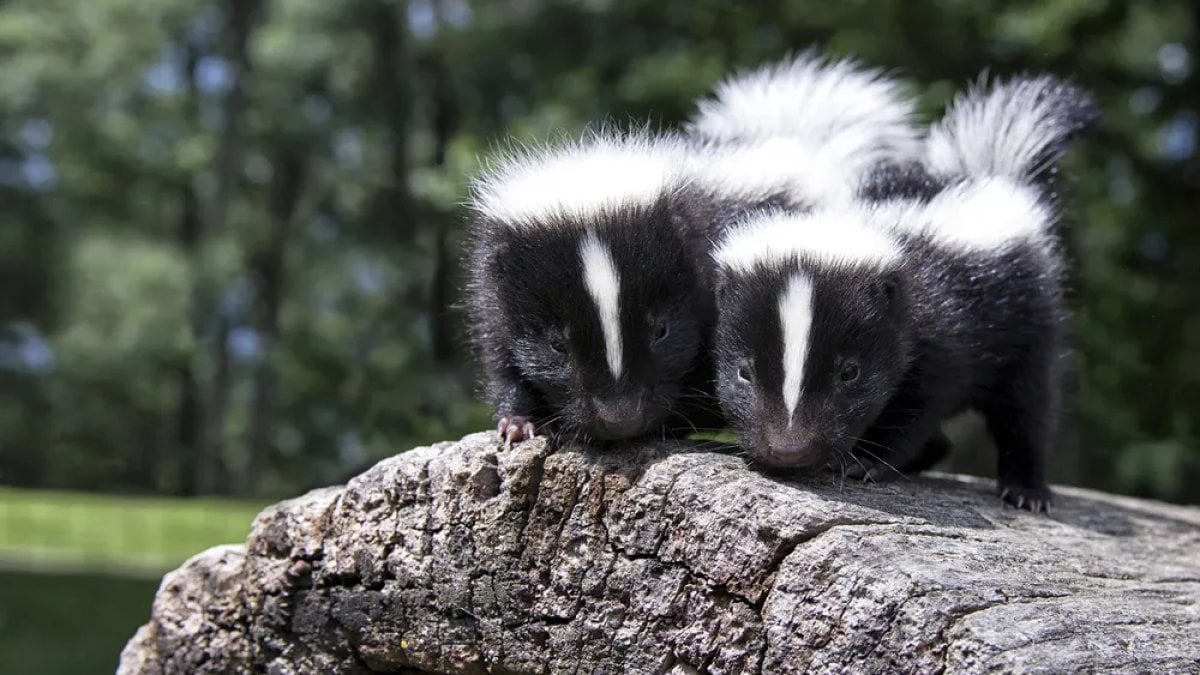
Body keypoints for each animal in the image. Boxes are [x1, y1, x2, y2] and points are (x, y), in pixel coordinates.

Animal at [710, 74, 1099, 509]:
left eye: (850, 372)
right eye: (744, 372)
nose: (790, 449)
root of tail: (993, 175)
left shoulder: (941, 330)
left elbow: (917, 405)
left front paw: (865, 461)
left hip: (1030, 319)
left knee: (1028, 407)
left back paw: (1026, 490)